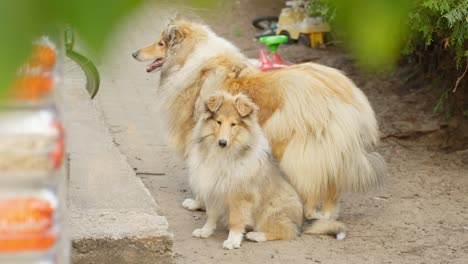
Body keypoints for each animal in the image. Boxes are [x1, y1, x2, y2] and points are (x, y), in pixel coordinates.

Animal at [132, 18, 384, 226]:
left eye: (161, 43)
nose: (134, 53)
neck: (190, 61)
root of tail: (345, 92)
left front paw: (197, 204)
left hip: (295, 146)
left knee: (315, 182)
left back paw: (310, 212)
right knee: (332, 182)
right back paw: (328, 214)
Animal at [188, 92, 346, 249]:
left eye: (234, 124)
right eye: (218, 122)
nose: (222, 142)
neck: (224, 154)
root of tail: (302, 221)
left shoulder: (240, 195)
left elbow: (236, 220)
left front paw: (232, 241)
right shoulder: (212, 189)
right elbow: (211, 215)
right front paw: (205, 231)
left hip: (271, 210)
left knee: (286, 231)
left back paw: (255, 235)